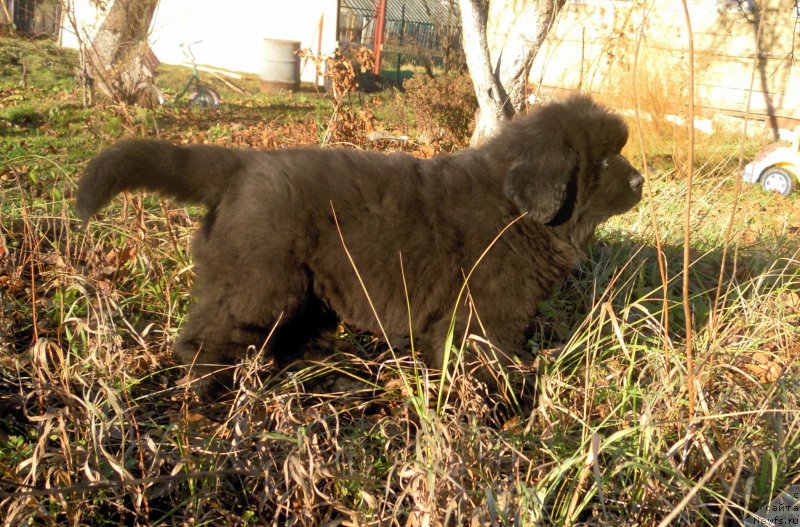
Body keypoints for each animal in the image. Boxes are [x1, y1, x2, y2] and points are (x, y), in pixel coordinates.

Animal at [78, 94, 644, 392]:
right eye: (606, 161)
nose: (642, 181)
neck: (517, 211)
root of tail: (240, 165)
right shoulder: (488, 314)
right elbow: (489, 360)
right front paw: (504, 404)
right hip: (260, 283)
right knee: (206, 338)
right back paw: (206, 392)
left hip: (305, 289)